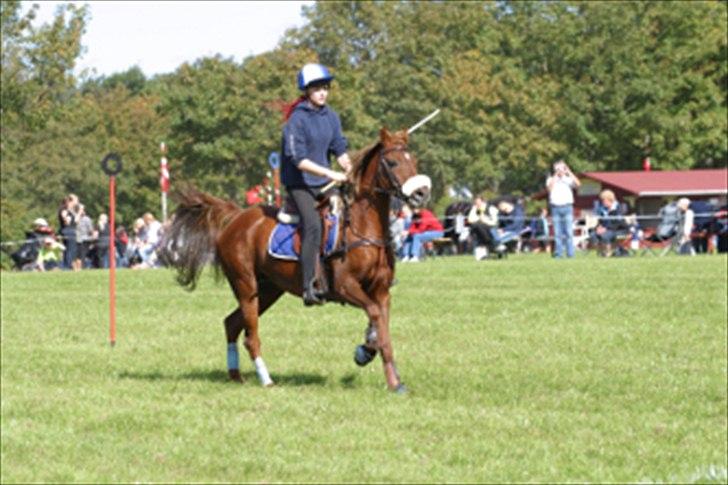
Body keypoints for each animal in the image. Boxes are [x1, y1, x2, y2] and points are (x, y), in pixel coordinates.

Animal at [162, 126, 430, 392]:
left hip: (268, 290)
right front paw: (369, 357)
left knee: (231, 323)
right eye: (393, 162)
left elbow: (381, 325)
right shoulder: (345, 286)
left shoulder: (381, 291)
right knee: (250, 335)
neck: (362, 228)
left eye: (414, 160)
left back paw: (236, 375)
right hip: (245, 285)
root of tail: (236, 217)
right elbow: (375, 316)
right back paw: (266, 379)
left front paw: (388, 374)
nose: (421, 193)